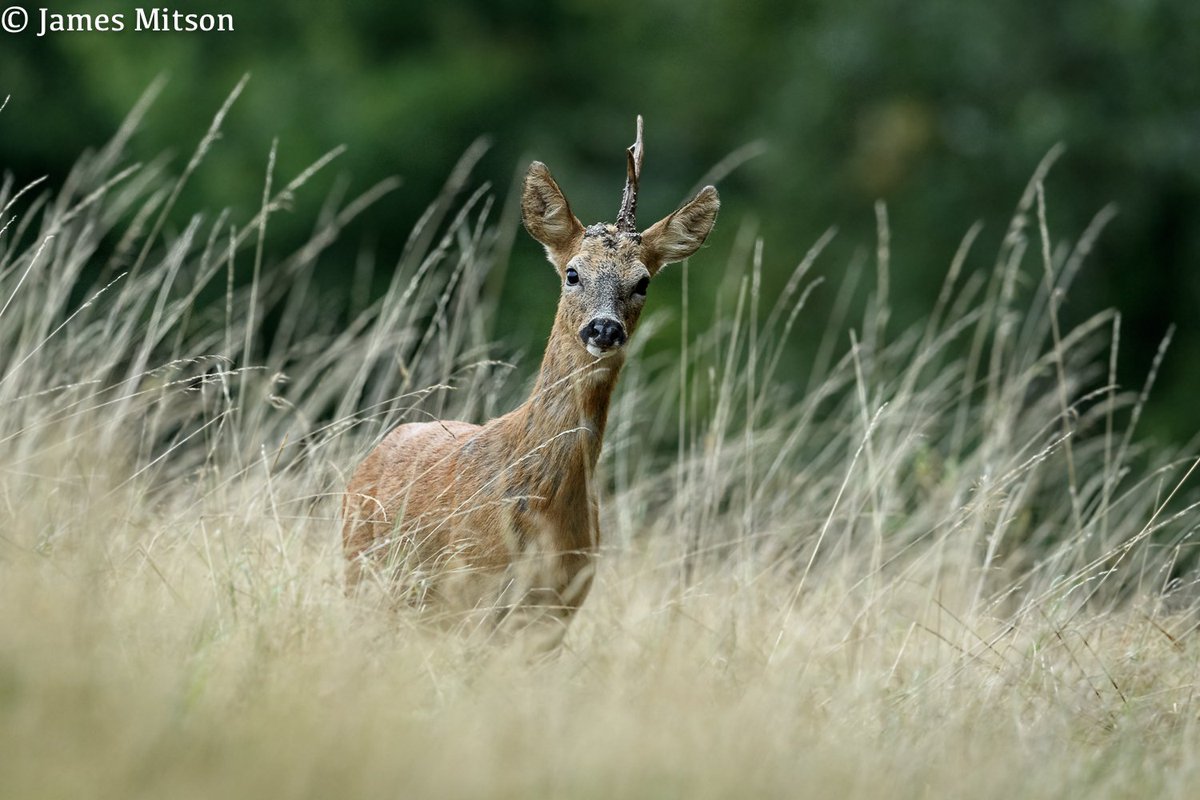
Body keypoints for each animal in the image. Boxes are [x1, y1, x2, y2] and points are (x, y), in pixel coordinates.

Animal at [342, 117, 719, 640]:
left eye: (642, 281)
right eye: (572, 274)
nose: (604, 328)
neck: (542, 508)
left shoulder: (557, 610)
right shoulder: (469, 593)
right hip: (363, 575)